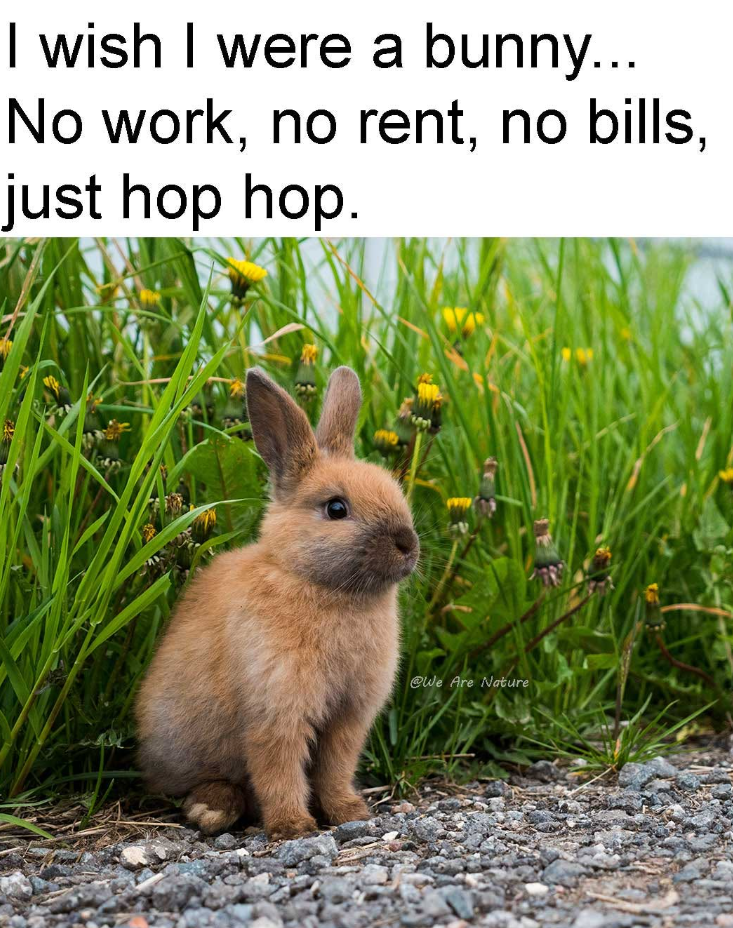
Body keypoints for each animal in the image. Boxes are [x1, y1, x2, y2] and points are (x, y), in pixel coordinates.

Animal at [135, 366, 419, 839]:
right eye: (336, 508)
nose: (408, 545)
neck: (317, 583)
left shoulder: (348, 718)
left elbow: (334, 769)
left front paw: (350, 813)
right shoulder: (275, 710)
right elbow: (279, 770)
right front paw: (293, 827)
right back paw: (211, 809)